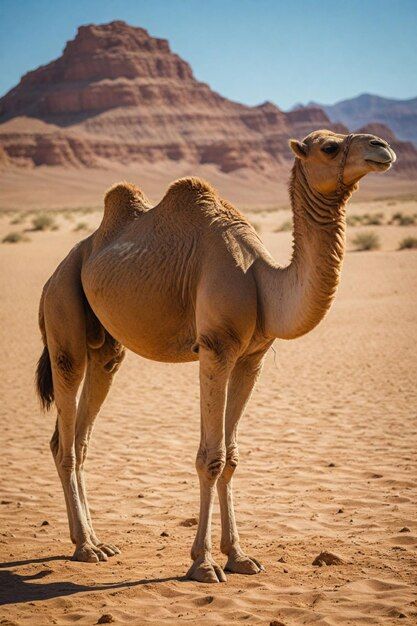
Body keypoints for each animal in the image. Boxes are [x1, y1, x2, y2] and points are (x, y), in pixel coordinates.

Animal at [35, 129, 394, 584]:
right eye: (329, 147)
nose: (381, 148)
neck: (261, 280)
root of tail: (53, 274)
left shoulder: (251, 359)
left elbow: (233, 458)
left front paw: (239, 556)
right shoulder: (215, 348)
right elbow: (211, 457)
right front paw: (203, 563)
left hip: (106, 346)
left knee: (77, 436)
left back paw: (95, 541)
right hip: (63, 310)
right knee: (66, 430)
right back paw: (85, 547)